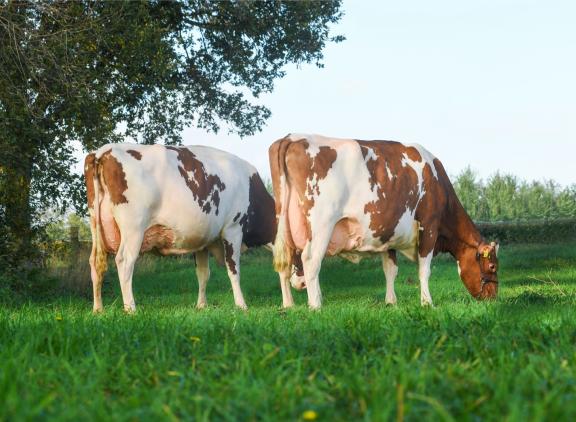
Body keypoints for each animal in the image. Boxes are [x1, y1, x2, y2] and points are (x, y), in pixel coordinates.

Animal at [84, 143, 276, 312]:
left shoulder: (202, 241)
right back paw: (130, 308)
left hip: (95, 224)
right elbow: (234, 270)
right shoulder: (233, 228)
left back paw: (98, 309)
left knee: (95, 263)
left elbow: (203, 274)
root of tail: (102, 151)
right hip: (133, 228)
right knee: (124, 261)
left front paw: (201, 305)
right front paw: (241, 305)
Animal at [270, 135, 500, 310]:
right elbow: (424, 269)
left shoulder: (388, 233)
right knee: (311, 261)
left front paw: (391, 302)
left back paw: (288, 304)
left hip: (283, 227)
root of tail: (291, 138)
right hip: (321, 224)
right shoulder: (429, 226)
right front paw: (427, 302)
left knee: (284, 265)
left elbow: (390, 269)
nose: (493, 297)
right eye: (492, 266)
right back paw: (316, 305)